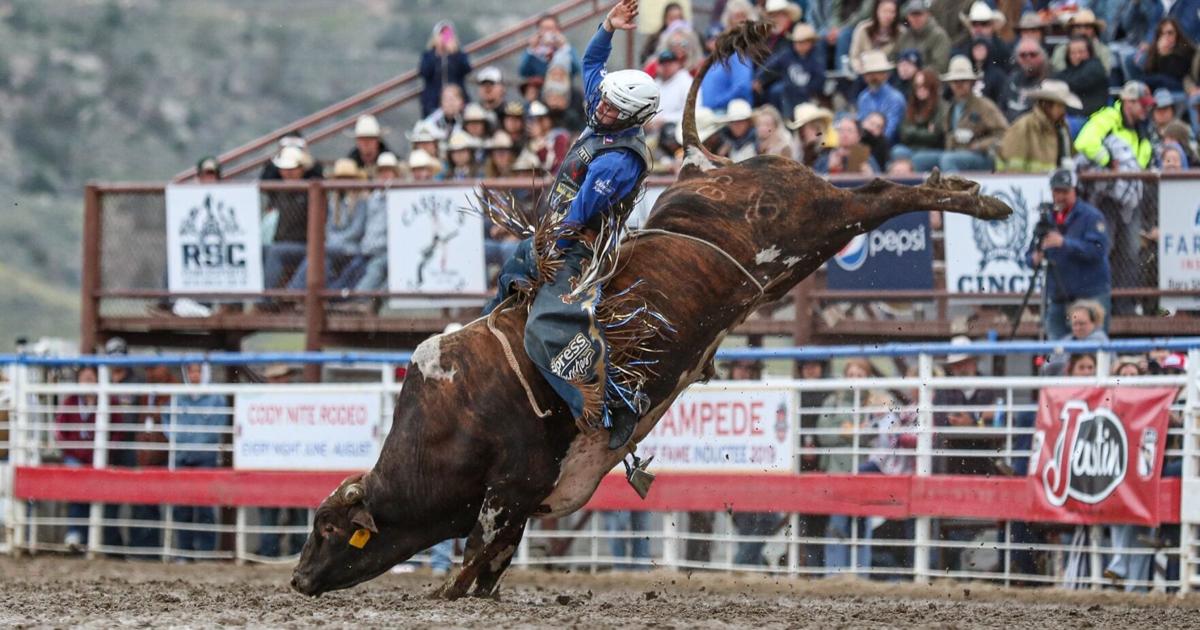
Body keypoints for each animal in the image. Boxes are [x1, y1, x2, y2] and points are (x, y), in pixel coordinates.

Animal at [292, 20, 1012, 600]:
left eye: (327, 529)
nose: (298, 580)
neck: (451, 416)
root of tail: (699, 164)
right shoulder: (523, 502)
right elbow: (489, 566)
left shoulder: (509, 488)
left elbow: (473, 559)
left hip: (814, 222)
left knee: (882, 193)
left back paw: (981, 200)